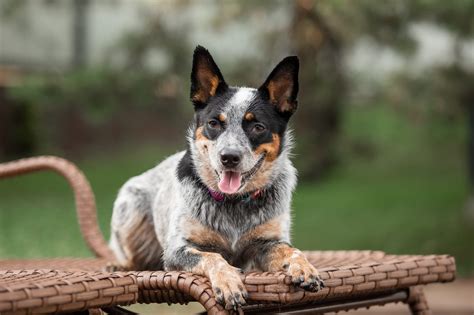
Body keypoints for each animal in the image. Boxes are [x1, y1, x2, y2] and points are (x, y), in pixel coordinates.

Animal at [110, 45, 324, 312]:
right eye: (214, 123)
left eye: (258, 127)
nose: (229, 157)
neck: (233, 204)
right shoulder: (177, 249)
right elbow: (213, 256)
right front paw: (229, 283)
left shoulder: (267, 243)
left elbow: (292, 251)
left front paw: (305, 267)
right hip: (131, 208)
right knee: (129, 256)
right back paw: (118, 265)